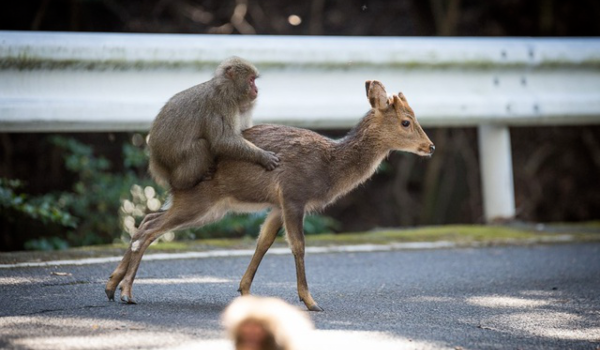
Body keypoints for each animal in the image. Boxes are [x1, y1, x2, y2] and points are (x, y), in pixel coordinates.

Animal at [105, 80, 434, 312]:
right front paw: (310, 301)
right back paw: (126, 292)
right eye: (406, 121)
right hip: (199, 201)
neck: (328, 168)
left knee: (147, 218)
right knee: (150, 228)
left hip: (205, 206)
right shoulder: (293, 194)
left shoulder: (277, 204)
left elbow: (263, 242)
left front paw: (245, 291)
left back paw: (111, 286)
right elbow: (298, 246)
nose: (430, 146)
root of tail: (171, 175)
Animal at [150, 56, 282, 190]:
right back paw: (183, 182)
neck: (226, 90)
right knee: (200, 146)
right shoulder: (221, 105)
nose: (256, 90)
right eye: (251, 80)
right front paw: (262, 156)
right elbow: (222, 140)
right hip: (171, 160)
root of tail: (156, 160)